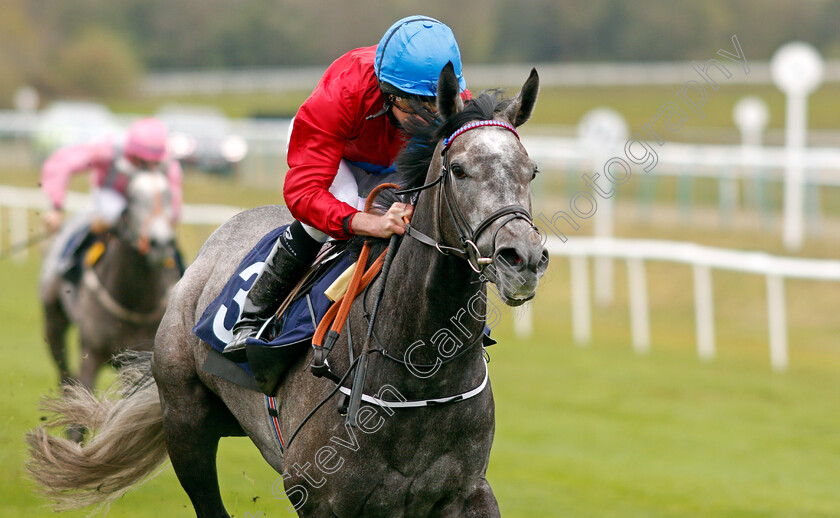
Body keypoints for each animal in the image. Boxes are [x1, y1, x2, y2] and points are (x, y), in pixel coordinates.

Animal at [39, 171, 180, 394]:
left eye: (169, 196)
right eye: (133, 198)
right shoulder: (91, 354)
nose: (161, 243)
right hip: (53, 317)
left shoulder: (136, 362)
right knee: (63, 367)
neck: (134, 300)